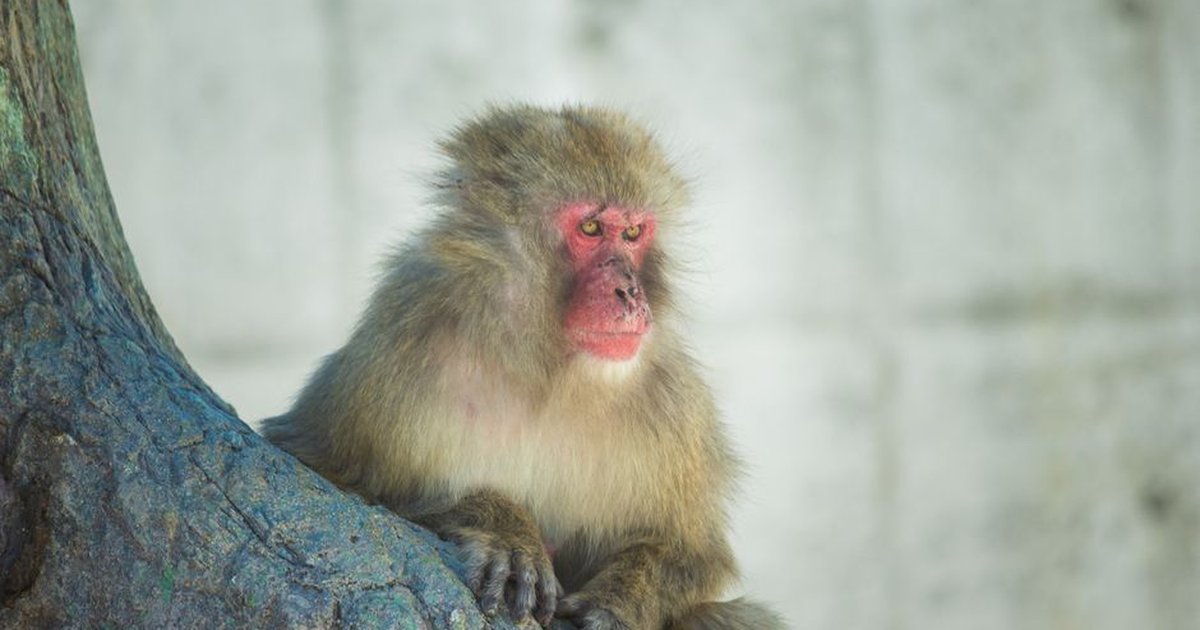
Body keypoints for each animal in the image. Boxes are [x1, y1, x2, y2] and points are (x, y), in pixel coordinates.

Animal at [262, 104, 783, 630]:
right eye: (591, 229)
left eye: (634, 233)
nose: (631, 292)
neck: (541, 367)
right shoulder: (399, 342)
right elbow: (324, 467)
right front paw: (505, 528)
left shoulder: (672, 401)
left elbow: (695, 553)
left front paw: (621, 598)